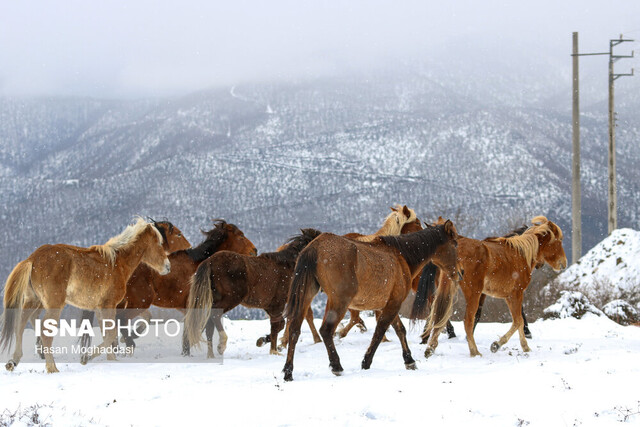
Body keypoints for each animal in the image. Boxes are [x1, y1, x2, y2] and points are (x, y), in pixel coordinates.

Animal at [0, 219, 170, 372]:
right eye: (158, 243)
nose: (167, 266)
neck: (117, 263)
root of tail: (32, 258)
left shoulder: (100, 308)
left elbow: (107, 334)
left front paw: (111, 360)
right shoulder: (108, 305)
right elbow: (111, 334)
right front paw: (86, 357)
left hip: (33, 301)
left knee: (20, 324)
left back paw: (13, 362)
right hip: (53, 305)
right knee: (44, 331)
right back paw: (52, 368)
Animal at [186, 229, 324, 356]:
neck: (289, 266)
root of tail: (209, 262)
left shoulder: (270, 306)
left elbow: (279, 325)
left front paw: (264, 341)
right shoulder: (277, 304)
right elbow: (277, 326)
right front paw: (274, 350)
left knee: (209, 324)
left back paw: (211, 355)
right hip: (230, 299)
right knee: (214, 316)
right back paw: (221, 345)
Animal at [282, 221, 462, 382]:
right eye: (454, 244)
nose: (461, 273)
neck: (401, 256)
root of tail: (314, 247)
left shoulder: (387, 304)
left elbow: (400, 330)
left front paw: (409, 360)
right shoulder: (394, 303)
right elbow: (380, 331)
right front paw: (366, 362)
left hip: (306, 295)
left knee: (294, 329)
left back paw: (288, 372)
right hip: (339, 302)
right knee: (326, 330)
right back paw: (336, 366)